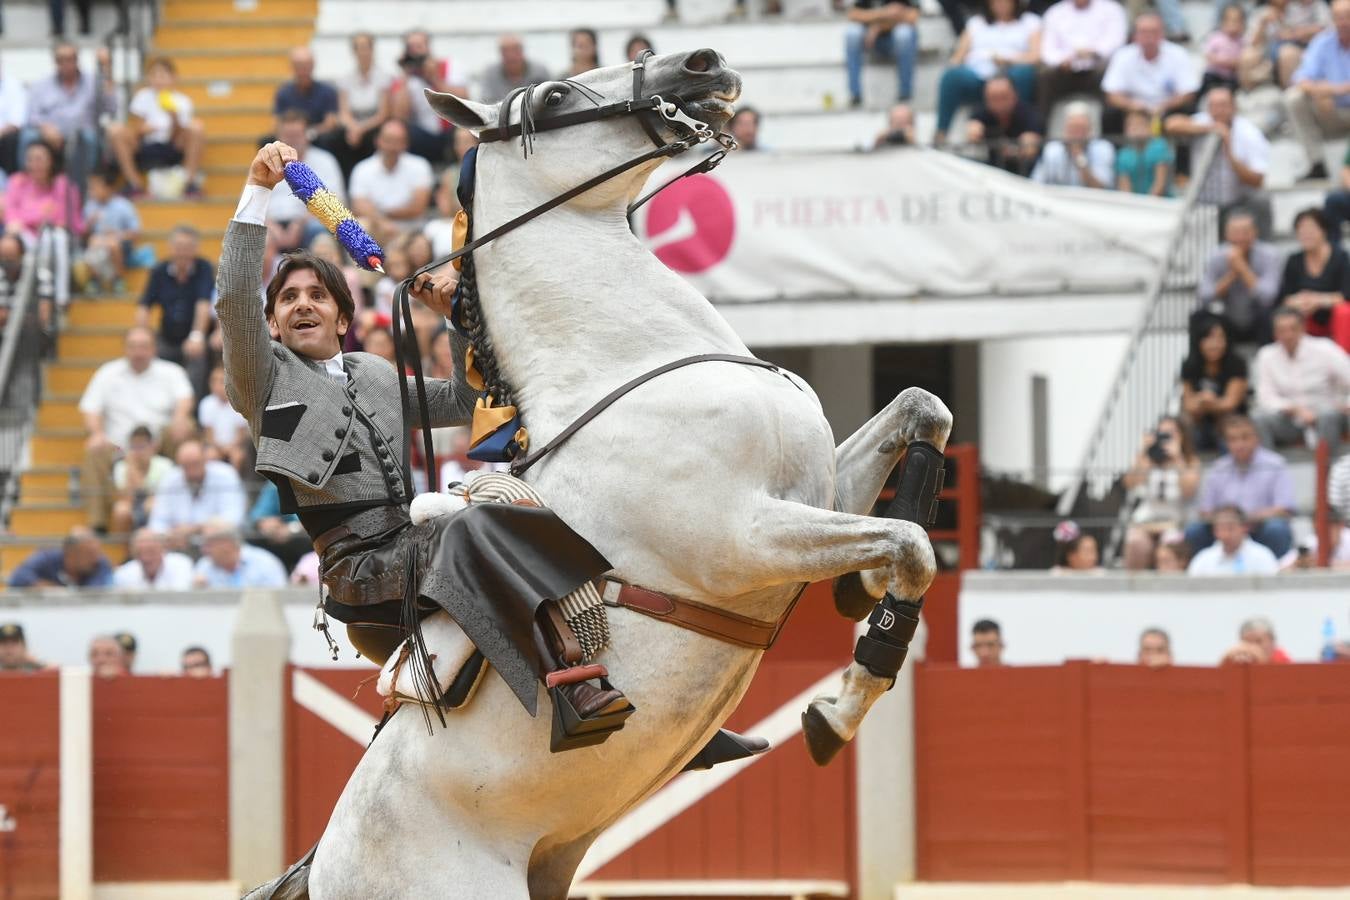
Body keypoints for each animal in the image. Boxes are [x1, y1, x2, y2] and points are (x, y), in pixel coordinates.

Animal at [253, 49, 950, 900]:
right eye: (556, 95)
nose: (703, 64)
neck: (629, 362)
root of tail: (326, 863)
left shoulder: (818, 491)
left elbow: (924, 413)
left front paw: (858, 588)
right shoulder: (744, 540)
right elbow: (910, 546)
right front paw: (834, 711)